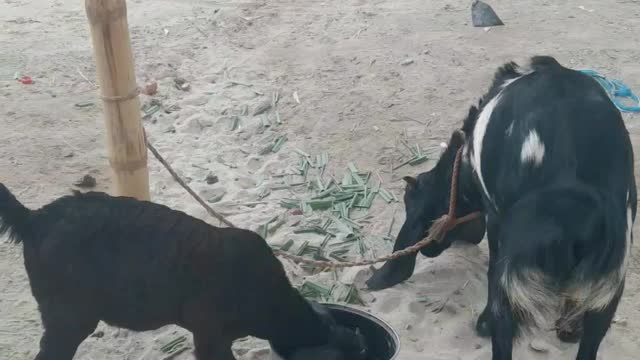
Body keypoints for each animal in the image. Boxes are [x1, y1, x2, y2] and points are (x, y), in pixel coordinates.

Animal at [364, 56, 636, 360]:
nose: (427, 249)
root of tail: (570, 203)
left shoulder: (495, 222)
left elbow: (491, 268)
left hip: (513, 283)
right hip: (609, 285)